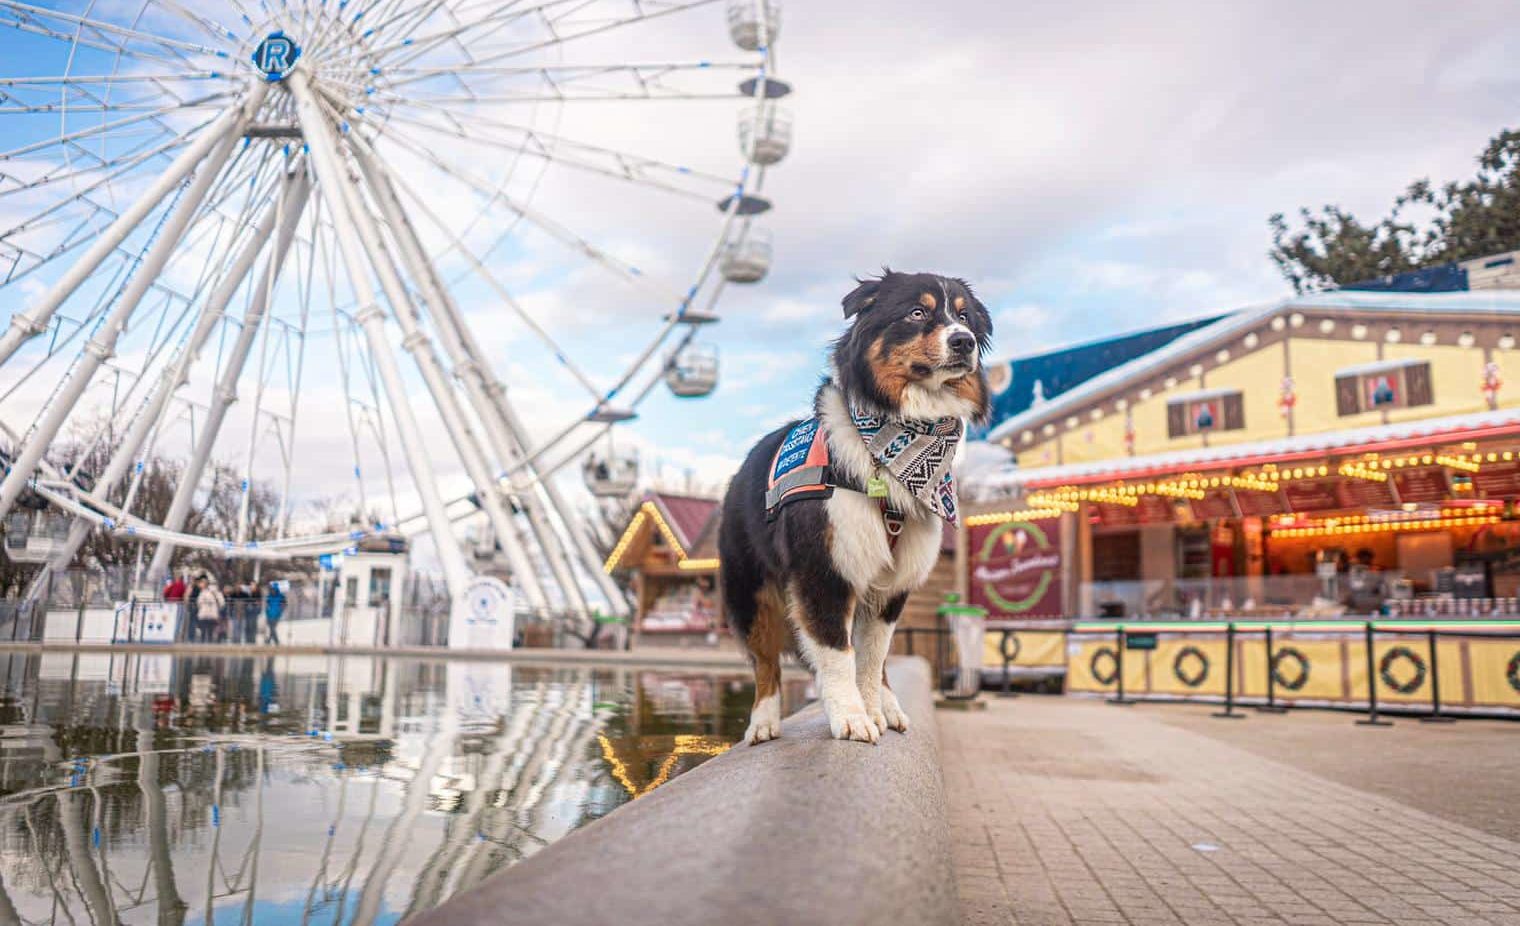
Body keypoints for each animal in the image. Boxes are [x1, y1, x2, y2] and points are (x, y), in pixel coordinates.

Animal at [723, 269, 997, 745]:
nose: (963, 341)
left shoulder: (892, 585)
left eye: (964, 317)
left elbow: (870, 657)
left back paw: (887, 705)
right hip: (750, 591)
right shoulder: (825, 570)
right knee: (765, 662)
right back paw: (763, 722)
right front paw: (851, 717)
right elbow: (836, 653)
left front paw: (870, 709)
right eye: (917, 312)